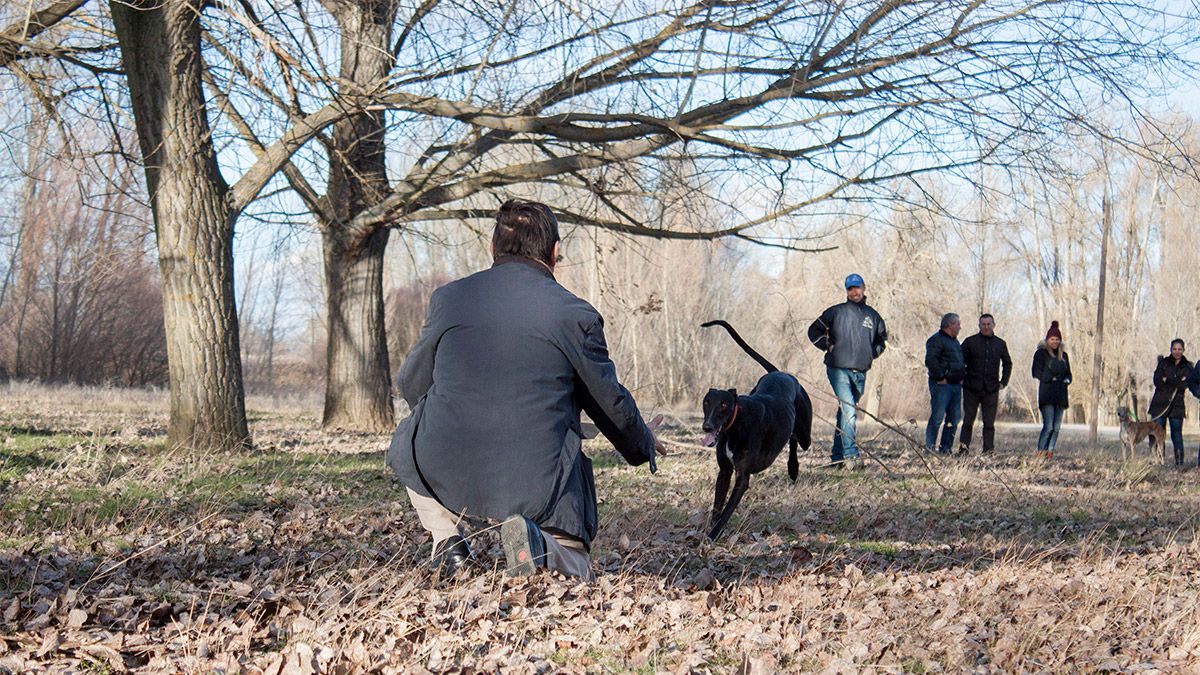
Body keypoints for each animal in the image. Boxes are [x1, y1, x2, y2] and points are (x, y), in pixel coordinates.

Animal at [700, 317, 811, 538]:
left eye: (723, 405)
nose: (707, 427)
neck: (735, 426)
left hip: (805, 433)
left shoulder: (742, 478)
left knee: (796, 439)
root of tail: (780, 372)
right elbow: (717, 506)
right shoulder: (724, 471)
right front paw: (709, 531)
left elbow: (726, 512)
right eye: (706, 402)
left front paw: (712, 536)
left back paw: (793, 467)